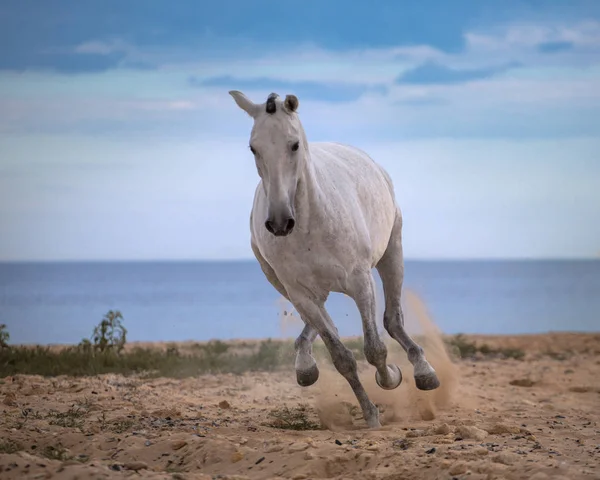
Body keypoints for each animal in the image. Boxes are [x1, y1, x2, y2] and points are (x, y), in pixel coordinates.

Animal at [227, 90, 438, 428]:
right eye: (253, 148)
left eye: (294, 144)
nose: (280, 223)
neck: (310, 223)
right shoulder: (301, 294)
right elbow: (340, 355)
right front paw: (370, 414)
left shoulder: (360, 281)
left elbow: (375, 349)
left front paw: (390, 378)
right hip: (282, 282)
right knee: (322, 324)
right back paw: (305, 366)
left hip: (392, 251)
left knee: (392, 320)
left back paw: (424, 371)